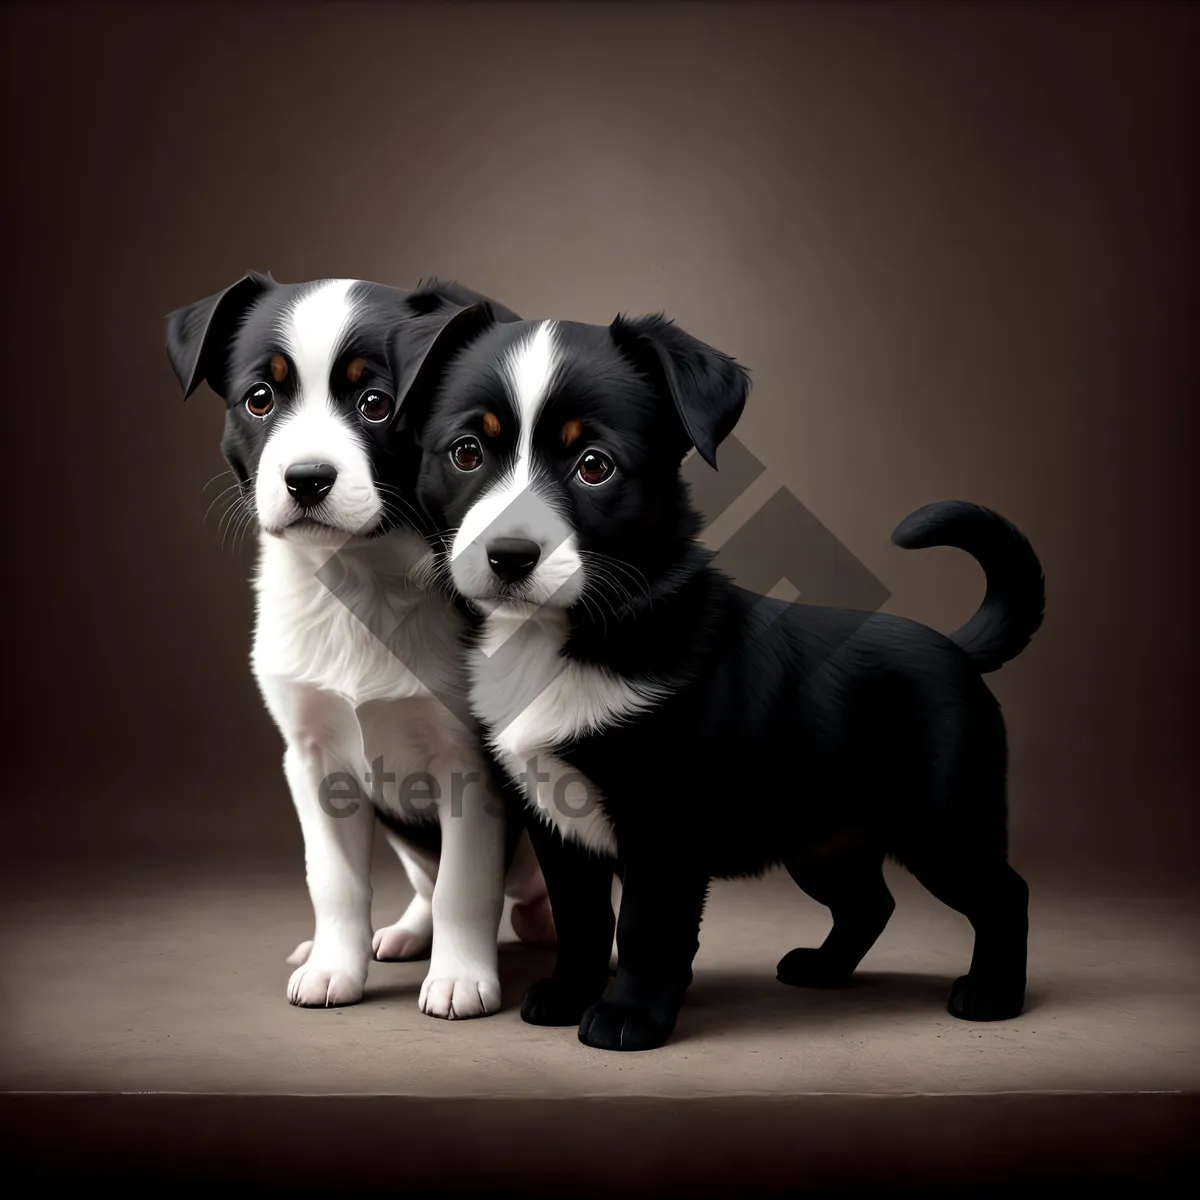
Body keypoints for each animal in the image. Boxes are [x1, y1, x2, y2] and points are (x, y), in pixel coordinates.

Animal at [164, 276, 552, 1017]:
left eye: (378, 404)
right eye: (260, 398)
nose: (306, 478)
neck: (356, 580)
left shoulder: (470, 766)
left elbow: (465, 882)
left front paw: (459, 978)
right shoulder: (312, 761)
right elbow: (335, 880)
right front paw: (332, 966)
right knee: (425, 882)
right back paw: (402, 934)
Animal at [400, 302, 1041, 1051]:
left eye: (594, 467)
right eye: (467, 453)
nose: (508, 555)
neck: (569, 637)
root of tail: (955, 648)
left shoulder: (665, 823)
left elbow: (647, 925)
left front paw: (628, 1016)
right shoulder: (554, 822)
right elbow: (582, 917)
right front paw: (566, 993)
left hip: (944, 822)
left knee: (1003, 894)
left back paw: (994, 994)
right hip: (823, 836)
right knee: (868, 900)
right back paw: (823, 969)